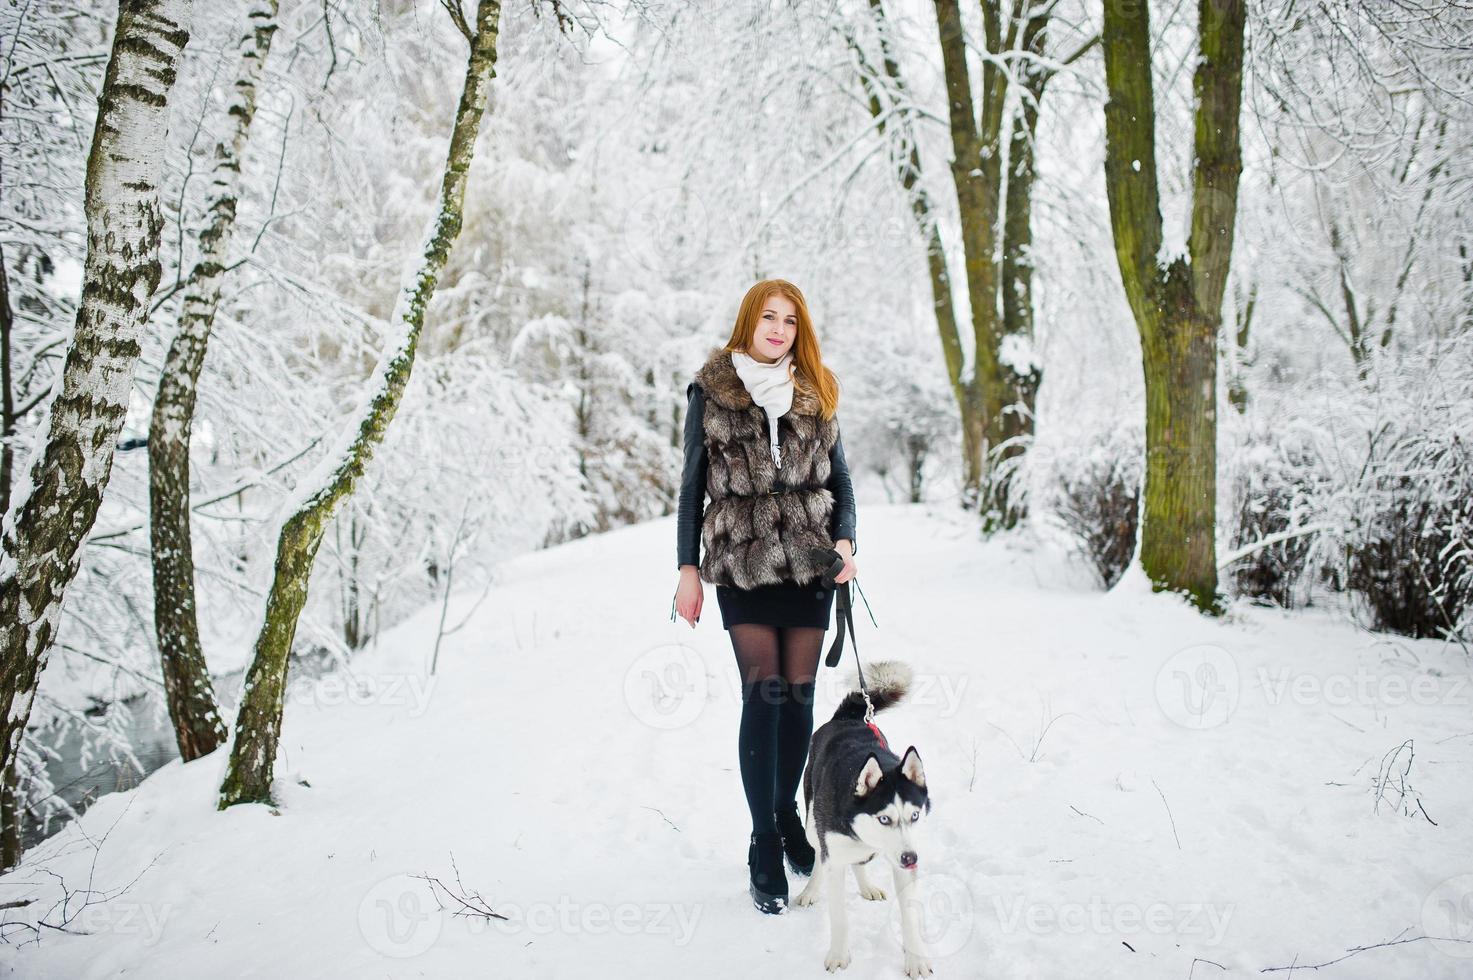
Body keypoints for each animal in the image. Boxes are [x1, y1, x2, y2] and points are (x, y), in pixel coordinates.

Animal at [795, 660, 930, 972]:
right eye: (884, 818)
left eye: (915, 815)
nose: (911, 858)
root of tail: (847, 718)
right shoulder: (834, 857)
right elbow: (839, 917)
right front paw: (838, 955)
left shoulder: (902, 863)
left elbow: (909, 916)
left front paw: (916, 958)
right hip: (811, 826)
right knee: (818, 853)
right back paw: (810, 890)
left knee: (860, 861)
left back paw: (867, 886)